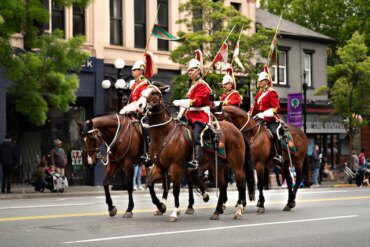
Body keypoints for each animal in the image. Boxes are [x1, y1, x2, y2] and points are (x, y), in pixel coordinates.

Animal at [123, 85, 250, 222]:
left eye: (153, 93)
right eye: (142, 91)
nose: (139, 105)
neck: (164, 133)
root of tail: (237, 130)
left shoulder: (175, 167)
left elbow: (176, 189)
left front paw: (174, 212)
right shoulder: (159, 166)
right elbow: (151, 184)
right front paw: (161, 206)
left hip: (236, 164)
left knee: (241, 183)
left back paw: (239, 210)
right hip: (219, 165)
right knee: (222, 185)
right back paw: (217, 211)